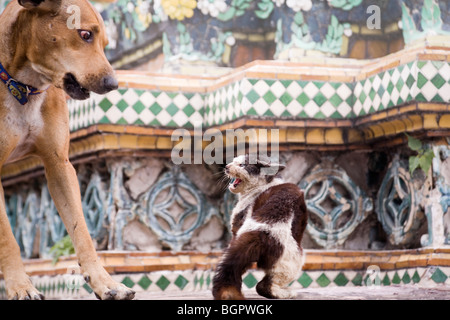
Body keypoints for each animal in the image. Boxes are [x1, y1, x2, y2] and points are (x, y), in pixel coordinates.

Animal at [0, 0, 134, 300]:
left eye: (105, 43)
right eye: (85, 35)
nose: (113, 84)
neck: (23, 86)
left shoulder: (59, 166)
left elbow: (81, 232)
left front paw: (105, 283)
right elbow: (8, 239)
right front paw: (21, 287)